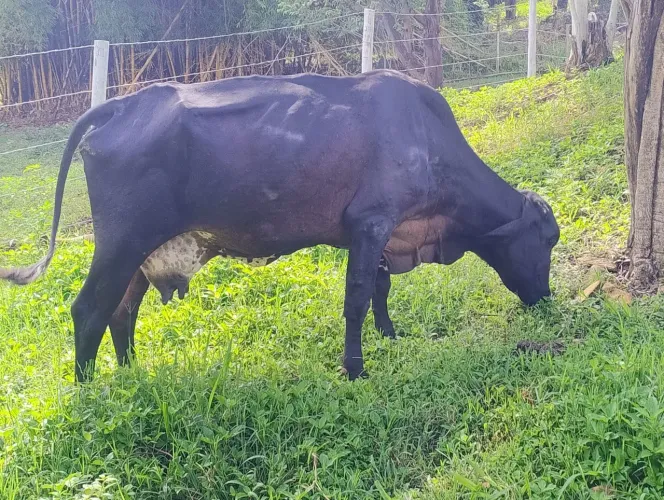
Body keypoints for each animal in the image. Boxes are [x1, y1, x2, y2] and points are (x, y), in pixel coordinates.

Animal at [0, 69, 559, 382]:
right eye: (548, 240)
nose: (546, 299)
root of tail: (124, 103)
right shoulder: (370, 222)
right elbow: (357, 298)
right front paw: (355, 369)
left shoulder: (384, 233)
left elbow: (380, 291)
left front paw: (391, 336)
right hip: (120, 243)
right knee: (89, 310)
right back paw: (91, 391)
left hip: (141, 254)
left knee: (121, 312)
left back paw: (132, 377)